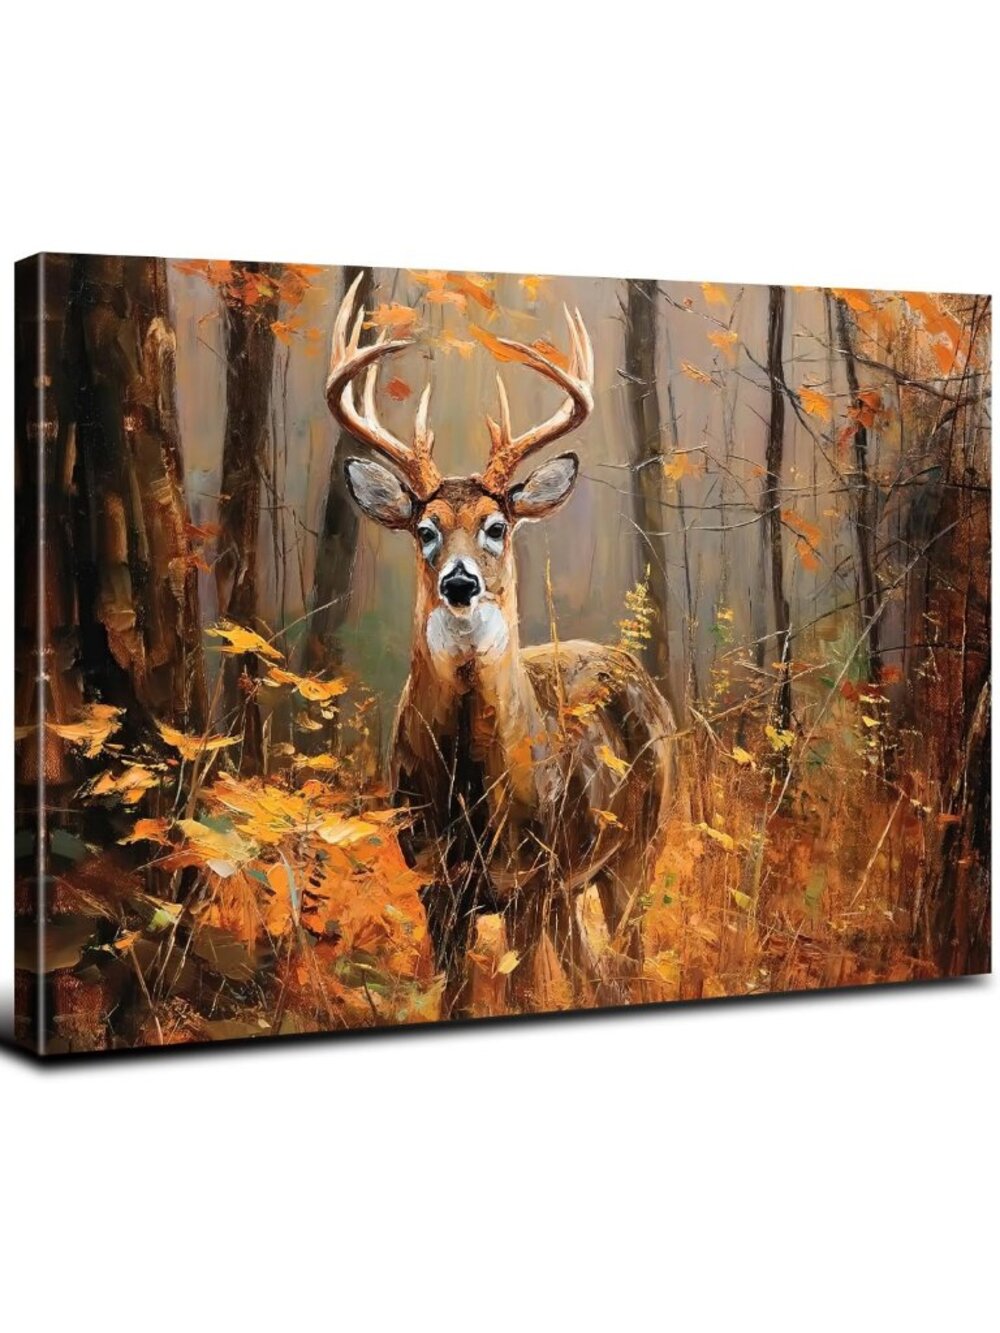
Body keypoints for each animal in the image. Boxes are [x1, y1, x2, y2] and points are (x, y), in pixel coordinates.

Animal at [326, 272, 675, 1014]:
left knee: (626, 959)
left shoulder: (530, 880)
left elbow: (521, 995)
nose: (460, 582)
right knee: (593, 970)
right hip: (575, 885)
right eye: (425, 528)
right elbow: (455, 996)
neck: (469, 794)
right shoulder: (434, 881)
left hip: (640, 847)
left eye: (496, 525)